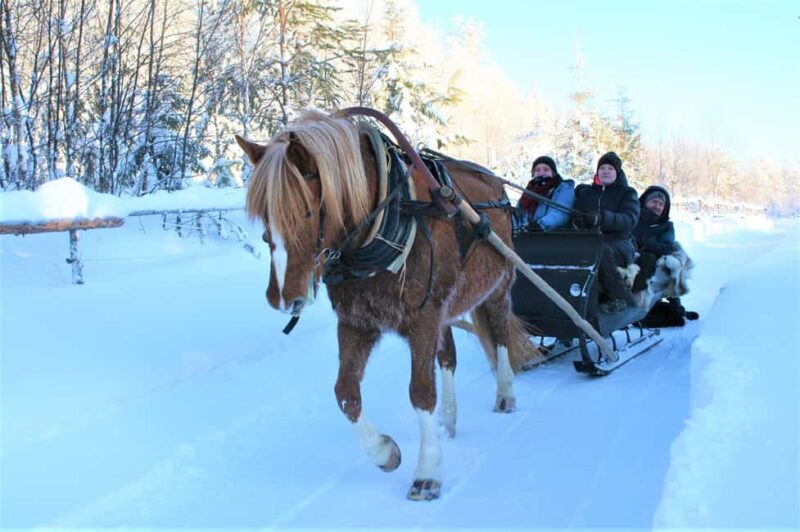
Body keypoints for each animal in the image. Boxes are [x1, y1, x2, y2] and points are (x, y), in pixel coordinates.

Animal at [236, 109, 533, 501]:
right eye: (264, 216)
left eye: (305, 211)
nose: (282, 298)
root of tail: (496, 187)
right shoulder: (356, 322)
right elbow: (345, 393)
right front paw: (384, 452)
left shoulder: (422, 320)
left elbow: (420, 392)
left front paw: (427, 473)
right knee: (448, 357)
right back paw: (449, 419)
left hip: (497, 289)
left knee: (499, 338)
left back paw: (505, 394)